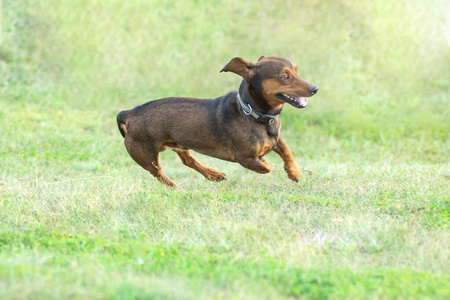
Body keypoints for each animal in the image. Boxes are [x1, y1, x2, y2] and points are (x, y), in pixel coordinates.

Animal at [118, 56, 318, 186]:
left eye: (296, 71)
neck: (253, 115)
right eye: (285, 77)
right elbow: (265, 167)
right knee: (158, 173)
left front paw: (293, 172)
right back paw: (175, 187)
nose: (314, 89)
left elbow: (287, 150)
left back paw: (213, 175)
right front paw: (270, 165)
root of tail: (130, 113)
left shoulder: (276, 140)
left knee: (188, 161)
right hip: (147, 157)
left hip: (179, 144)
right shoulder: (244, 158)